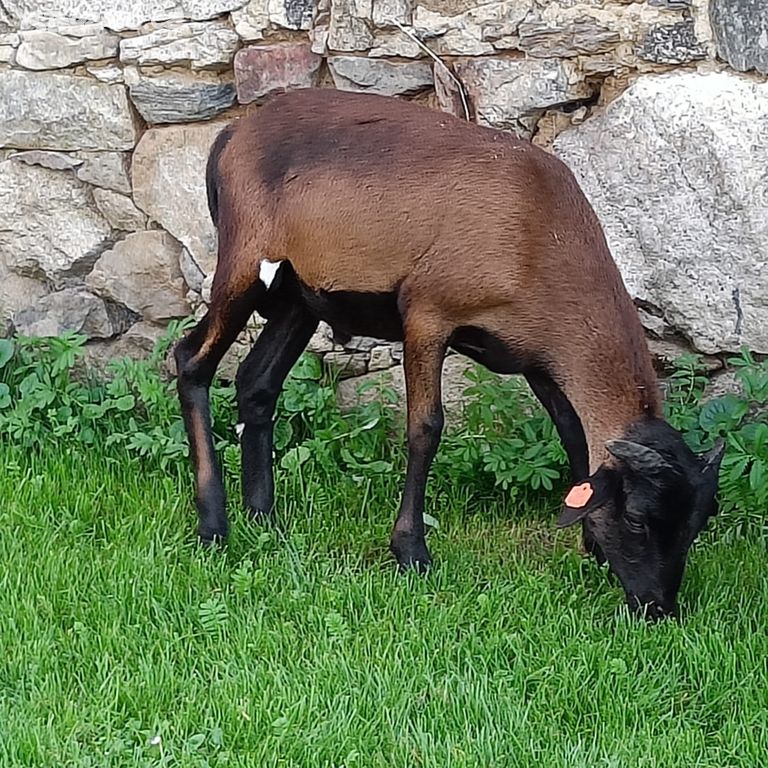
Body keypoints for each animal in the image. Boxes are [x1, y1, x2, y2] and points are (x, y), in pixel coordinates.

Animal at [176, 88, 728, 616]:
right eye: (636, 517)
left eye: (698, 523)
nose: (658, 607)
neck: (542, 234)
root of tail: (233, 133)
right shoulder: (428, 316)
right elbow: (426, 428)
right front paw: (411, 552)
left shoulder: (536, 357)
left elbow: (573, 437)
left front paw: (590, 546)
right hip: (244, 264)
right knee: (191, 362)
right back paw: (213, 525)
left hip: (299, 294)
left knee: (256, 383)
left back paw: (263, 517)